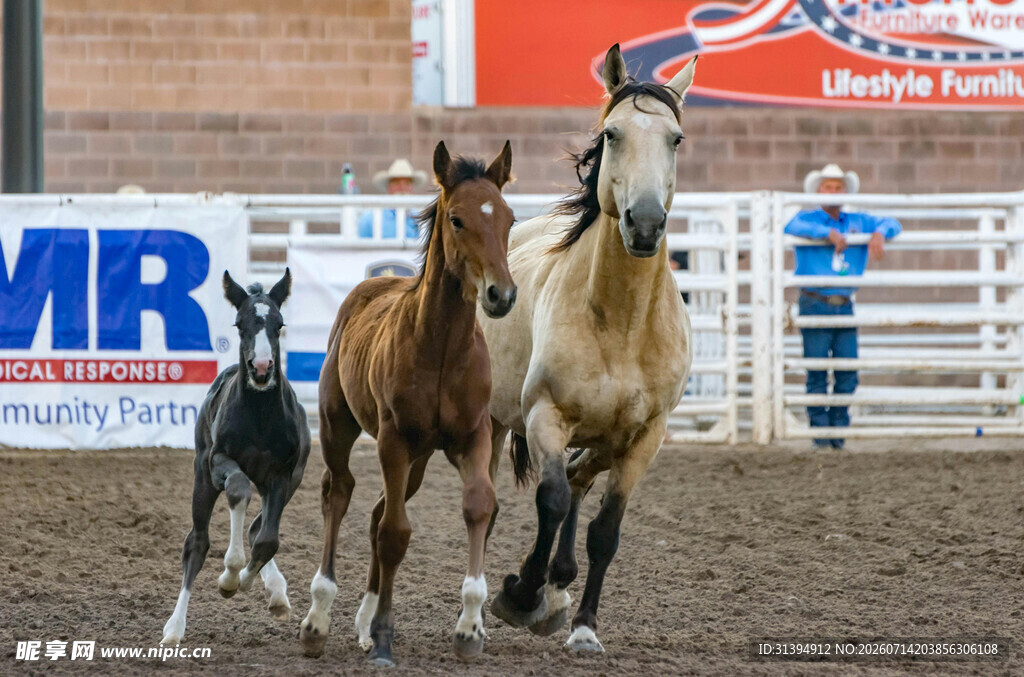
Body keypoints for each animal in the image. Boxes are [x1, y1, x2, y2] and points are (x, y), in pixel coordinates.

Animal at [161, 269, 311, 646]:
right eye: (240, 324)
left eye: (279, 324)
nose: (262, 368)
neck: (259, 416)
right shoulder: (219, 463)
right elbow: (239, 490)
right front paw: (229, 575)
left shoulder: (282, 475)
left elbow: (268, 539)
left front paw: (247, 580)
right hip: (201, 476)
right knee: (196, 543)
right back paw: (174, 628)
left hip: (292, 481)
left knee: (259, 528)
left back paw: (276, 593)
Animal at [298, 140, 516, 666]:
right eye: (457, 219)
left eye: (509, 218)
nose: (501, 294)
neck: (440, 349)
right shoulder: (393, 440)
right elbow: (395, 534)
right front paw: (382, 636)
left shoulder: (474, 437)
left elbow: (478, 507)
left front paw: (469, 629)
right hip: (340, 426)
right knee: (340, 493)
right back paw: (318, 619)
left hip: (417, 461)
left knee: (378, 511)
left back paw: (359, 621)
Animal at [477, 44, 696, 653]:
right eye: (613, 134)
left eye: (676, 139)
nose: (644, 223)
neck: (621, 324)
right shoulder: (545, 415)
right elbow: (549, 500)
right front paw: (520, 594)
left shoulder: (644, 439)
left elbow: (605, 531)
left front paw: (583, 627)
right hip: (495, 422)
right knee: (508, 499)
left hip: (604, 439)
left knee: (578, 481)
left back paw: (560, 586)